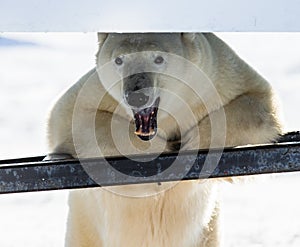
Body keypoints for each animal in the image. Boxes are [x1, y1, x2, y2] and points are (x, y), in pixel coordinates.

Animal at [47, 33, 282, 247]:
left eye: (158, 59)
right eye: (119, 60)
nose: (136, 96)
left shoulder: (215, 73)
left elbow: (260, 101)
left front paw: (191, 141)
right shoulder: (97, 90)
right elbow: (69, 116)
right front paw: (163, 147)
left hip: (207, 233)